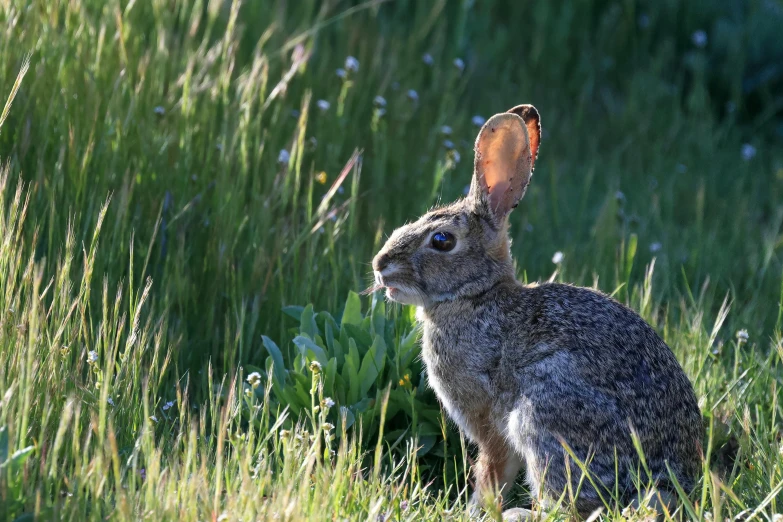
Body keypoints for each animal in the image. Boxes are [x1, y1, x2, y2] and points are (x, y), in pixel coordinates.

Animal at [370, 104, 708, 516]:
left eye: (442, 240)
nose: (380, 264)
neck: (477, 295)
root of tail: (665, 484)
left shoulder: (490, 420)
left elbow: (491, 471)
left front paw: (473, 512)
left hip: (542, 415)